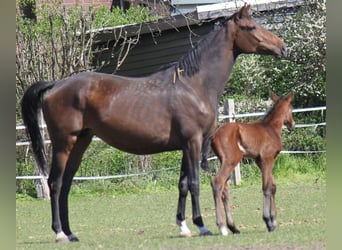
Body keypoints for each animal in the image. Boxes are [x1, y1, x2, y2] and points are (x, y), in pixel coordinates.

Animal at [20, 4, 286, 242]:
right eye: (251, 27)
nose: (282, 47)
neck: (194, 85)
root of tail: (56, 84)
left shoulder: (185, 146)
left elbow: (182, 185)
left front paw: (183, 227)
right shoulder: (193, 142)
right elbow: (195, 183)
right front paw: (202, 226)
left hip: (81, 142)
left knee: (66, 185)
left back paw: (71, 233)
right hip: (63, 143)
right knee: (55, 183)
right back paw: (59, 233)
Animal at [202, 91, 296, 235]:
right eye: (291, 109)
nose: (293, 124)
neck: (271, 128)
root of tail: (214, 134)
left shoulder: (259, 161)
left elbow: (273, 186)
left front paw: (274, 221)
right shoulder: (267, 159)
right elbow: (266, 187)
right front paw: (268, 221)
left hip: (225, 161)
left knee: (225, 188)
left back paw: (233, 227)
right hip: (231, 160)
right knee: (217, 183)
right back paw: (222, 227)